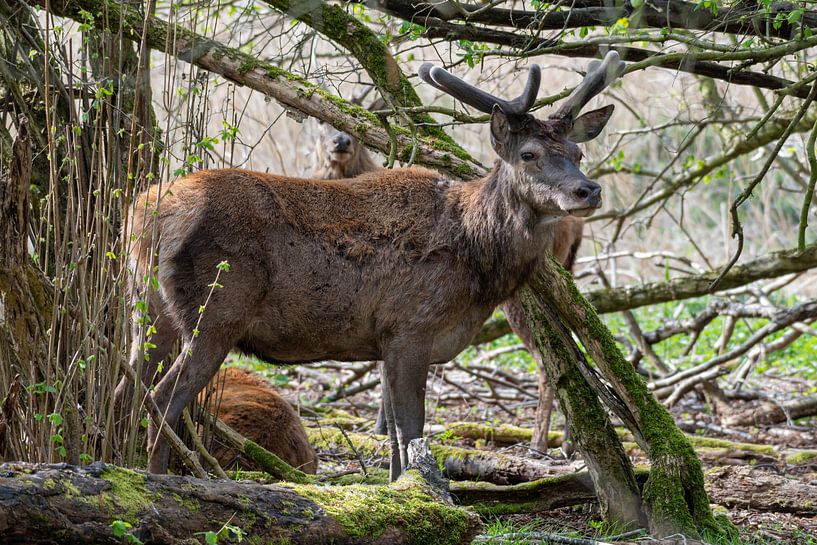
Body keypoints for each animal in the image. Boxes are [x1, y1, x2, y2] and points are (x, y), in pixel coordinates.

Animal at [122, 51, 624, 478]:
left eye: (578, 154)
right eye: (528, 154)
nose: (588, 190)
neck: (475, 259)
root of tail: (143, 216)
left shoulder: (385, 338)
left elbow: (399, 439)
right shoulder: (411, 324)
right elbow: (412, 426)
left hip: (150, 310)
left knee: (128, 386)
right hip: (215, 310)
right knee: (163, 398)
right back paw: (160, 478)